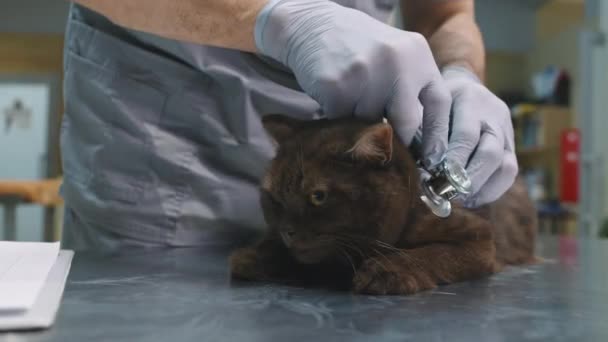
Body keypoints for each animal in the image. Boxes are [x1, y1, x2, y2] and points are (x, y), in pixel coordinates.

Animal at [229, 114, 536, 294]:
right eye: (274, 197)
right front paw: (261, 255)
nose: (287, 231)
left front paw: (387, 270)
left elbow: (432, 253)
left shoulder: (479, 239)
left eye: (318, 196)